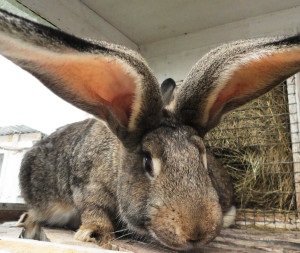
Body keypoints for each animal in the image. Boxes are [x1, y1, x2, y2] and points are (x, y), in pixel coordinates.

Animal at [0, 9, 300, 251]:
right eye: (147, 161)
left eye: (203, 159)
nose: (196, 231)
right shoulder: (88, 187)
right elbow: (94, 211)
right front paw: (94, 234)